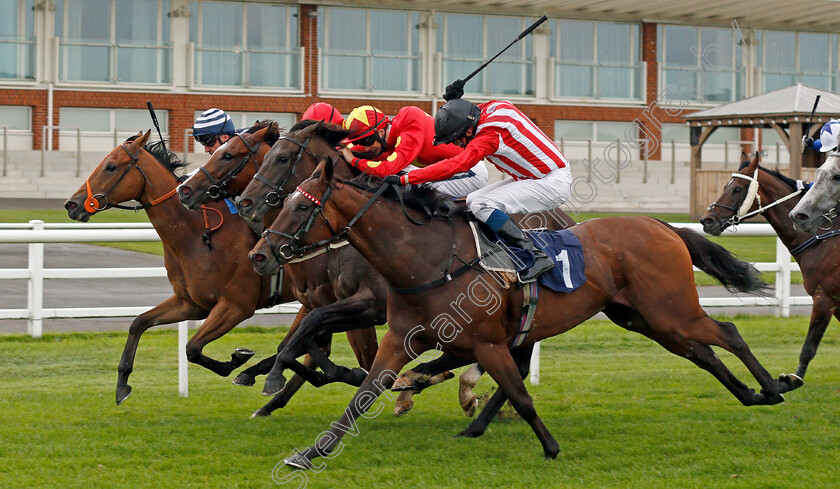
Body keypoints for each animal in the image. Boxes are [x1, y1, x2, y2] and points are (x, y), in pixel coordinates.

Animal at [61, 132, 296, 406]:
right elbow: (139, 323)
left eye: (111, 166)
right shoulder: (191, 303)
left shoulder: (236, 306)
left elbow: (192, 348)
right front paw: (122, 383)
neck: (197, 235)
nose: (72, 204)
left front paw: (236, 360)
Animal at [254, 155, 788, 466]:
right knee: (703, 352)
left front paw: (549, 447)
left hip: (669, 310)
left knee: (728, 332)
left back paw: (775, 387)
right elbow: (363, 392)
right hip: (644, 318)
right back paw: (751, 394)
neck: (425, 258)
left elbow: (520, 394)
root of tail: (663, 225)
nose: (259, 254)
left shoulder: (487, 341)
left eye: (301, 208)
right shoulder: (399, 337)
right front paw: (311, 451)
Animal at [700, 152, 836, 388]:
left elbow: (809, 347)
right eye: (726, 185)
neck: (821, 238)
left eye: (737, 189)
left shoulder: (823, 298)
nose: (707, 221)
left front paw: (792, 379)